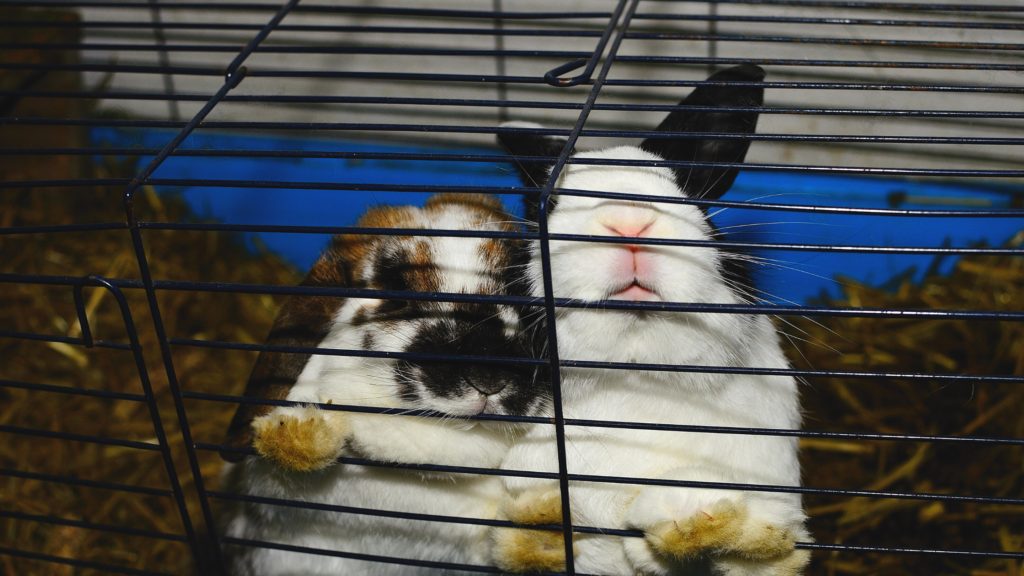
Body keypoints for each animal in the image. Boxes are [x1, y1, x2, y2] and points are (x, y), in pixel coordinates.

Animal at [491, 63, 811, 573]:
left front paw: (692, 517)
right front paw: (539, 512)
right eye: (552, 206)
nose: (628, 223)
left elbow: (762, 547)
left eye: (689, 198)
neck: (636, 372)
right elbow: (526, 540)